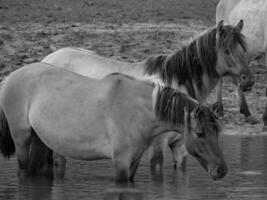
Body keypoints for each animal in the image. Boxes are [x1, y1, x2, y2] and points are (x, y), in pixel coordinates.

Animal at [0, 63, 228, 182]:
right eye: (199, 133)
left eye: (217, 132)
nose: (221, 170)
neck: (136, 110)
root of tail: (11, 76)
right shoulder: (120, 163)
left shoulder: (133, 161)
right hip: (22, 139)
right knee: (24, 170)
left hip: (39, 141)